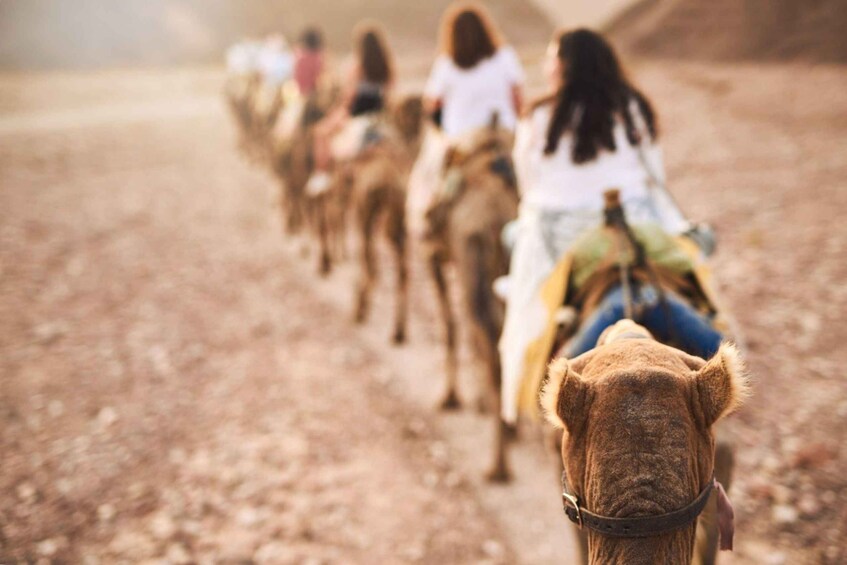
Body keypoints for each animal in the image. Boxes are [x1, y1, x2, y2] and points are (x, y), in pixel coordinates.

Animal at [422, 120, 516, 480]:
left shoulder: (435, 257)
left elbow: (450, 326)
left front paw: (450, 398)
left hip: (469, 261)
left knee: (488, 342)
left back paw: (497, 465)